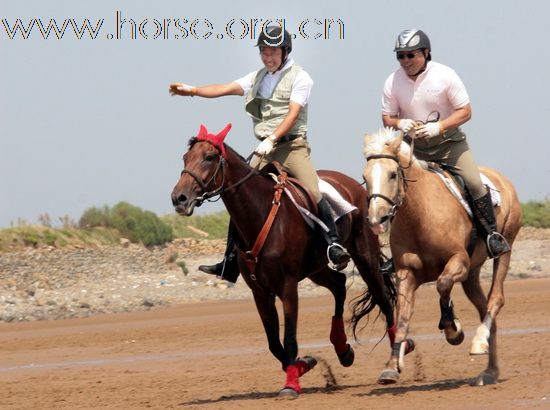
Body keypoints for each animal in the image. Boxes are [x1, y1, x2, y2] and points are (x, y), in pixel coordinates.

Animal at [170, 123, 398, 396]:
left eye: (209, 157)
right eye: (185, 158)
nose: (179, 198)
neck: (259, 212)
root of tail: (358, 186)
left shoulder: (287, 287)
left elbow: (289, 338)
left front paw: (291, 384)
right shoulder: (260, 292)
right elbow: (273, 343)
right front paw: (302, 364)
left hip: (365, 258)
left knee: (383, 299)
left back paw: (395, 358)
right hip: (317, 269)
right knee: (339, 285)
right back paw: (343, 349)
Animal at [364, 129, 524, 388]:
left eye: (392, 174)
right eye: (365, 177)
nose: (376, 220)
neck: (419, 214)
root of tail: (503, 180)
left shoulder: (458, 261)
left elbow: (442, 284)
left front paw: (453, 330)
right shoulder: (406, 274)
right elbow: (402, 318)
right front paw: (391, 367)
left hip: (504, 251)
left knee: (496, 299)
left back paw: (479, 341)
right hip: (472, 275)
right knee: (485, 309)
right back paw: (490, 371)